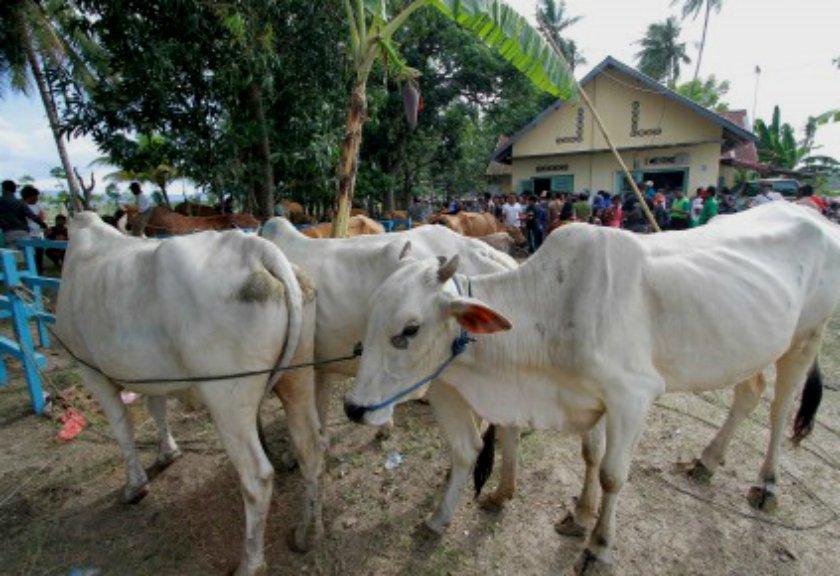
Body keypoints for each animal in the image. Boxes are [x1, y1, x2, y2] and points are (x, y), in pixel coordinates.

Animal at [342, 204, 840, 572]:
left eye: (409, 330)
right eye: (370, 316)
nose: (352, 408)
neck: (550, 310)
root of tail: (815, 216)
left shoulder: (631, 398)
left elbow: (612, 475)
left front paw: (599, 547)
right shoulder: (589, 399)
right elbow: (590, 456)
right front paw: (580, 516)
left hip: (806, 337)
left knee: (780, 408)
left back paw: (768, 484)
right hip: (745, 349)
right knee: (749, 393)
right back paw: (706, 461)